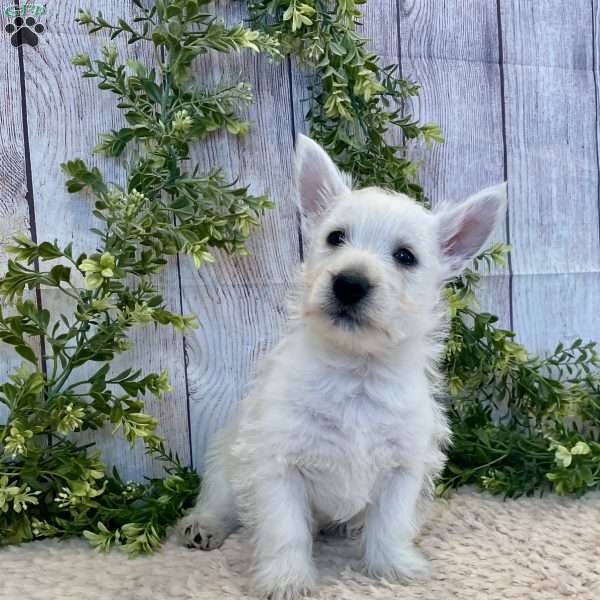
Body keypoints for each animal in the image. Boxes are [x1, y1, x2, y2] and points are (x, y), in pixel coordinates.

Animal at [178, 136, 506, 600]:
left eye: (405, 256)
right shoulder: (279, 467)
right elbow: (285, 531)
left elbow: (391, 524)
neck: (356, 372)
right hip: (227, 467)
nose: (349, 283)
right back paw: (202, 526)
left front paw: (394, 567)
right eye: (336, 238)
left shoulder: (403, 467)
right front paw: (286, 580)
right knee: (221, 503)